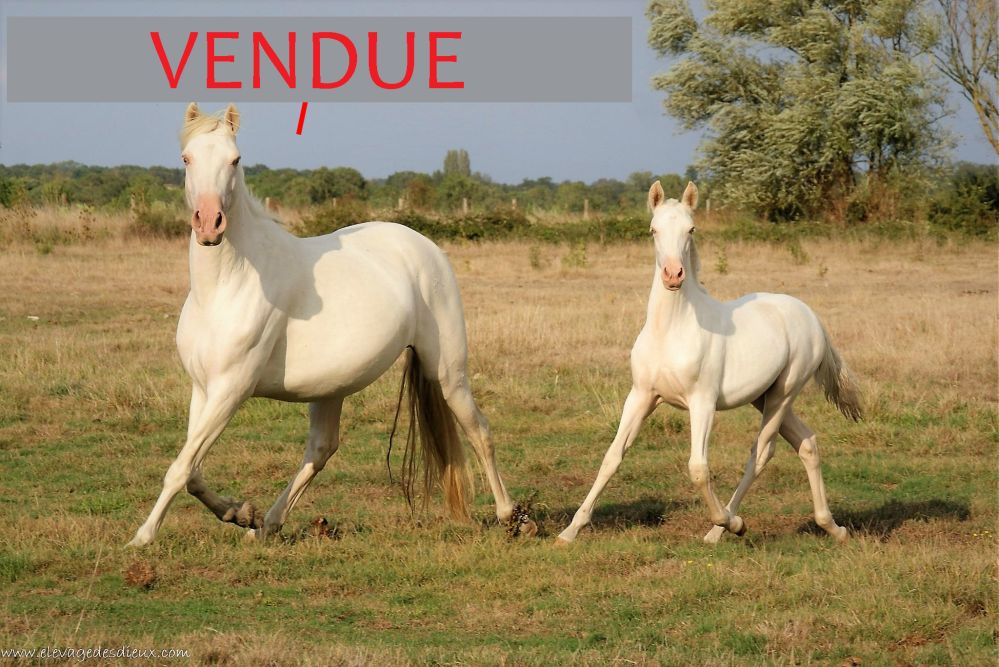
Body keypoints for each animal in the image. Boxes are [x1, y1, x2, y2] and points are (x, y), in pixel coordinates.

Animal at [128, 103, 521, 546]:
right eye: (187, 159)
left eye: (235, 159)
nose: (209, 223)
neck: (227, 286)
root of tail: (424, 246)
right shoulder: (204, 389)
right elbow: (192, 470)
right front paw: (240, 513)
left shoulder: (231, 390)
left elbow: (179, 469)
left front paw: (142, 537)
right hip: (333, 387)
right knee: (320, 450)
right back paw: (266, 525)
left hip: (448, 372)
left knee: (479, 430)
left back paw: (512, 517)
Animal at [557, 181, 861, 545]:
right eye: (653, 230)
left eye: (691, 229)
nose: (673, 275)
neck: (671, 330)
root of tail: (811, 317)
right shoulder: (642, 395)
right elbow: (612, 456)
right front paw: (570, 530)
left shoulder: (702, 402)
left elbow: (698, 468)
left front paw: (733, 523)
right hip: (763, 397)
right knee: (807, 443)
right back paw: (833, 527)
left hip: (783, 394)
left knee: (761, 453)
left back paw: (725, 527)